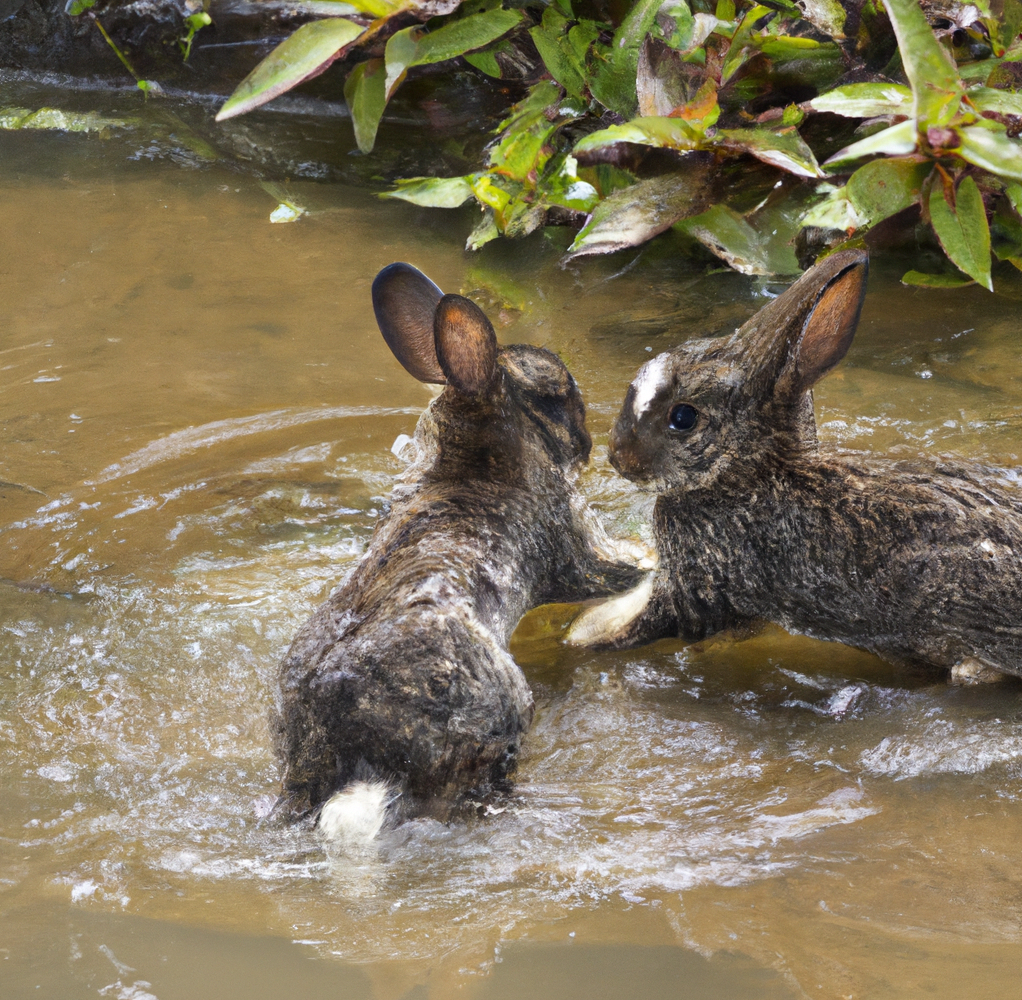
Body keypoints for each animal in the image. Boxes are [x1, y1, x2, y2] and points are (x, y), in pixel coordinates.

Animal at [271, 262, 646, 843]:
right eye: (556, 395)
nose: (587, 444)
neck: (473, 463)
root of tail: (353, 758)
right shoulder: (575, 543)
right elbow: (619, 568)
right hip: (495, 717)